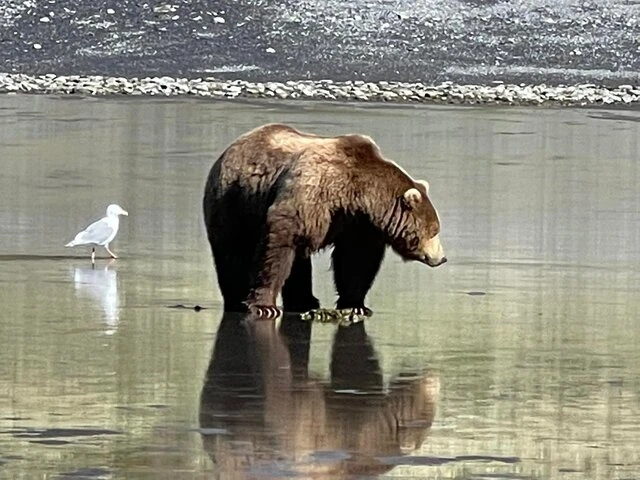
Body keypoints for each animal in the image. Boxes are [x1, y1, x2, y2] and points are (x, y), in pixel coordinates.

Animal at [203, 123, 446, 318]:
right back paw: (236, 298)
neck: (358, 198)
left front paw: (356, 305)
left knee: (298, 261)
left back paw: (304, 300)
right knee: (232, 253)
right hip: (233, 202)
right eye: (434, 230)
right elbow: (277, 246)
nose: (442, 258)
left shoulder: (358, 226)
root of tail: (232, 146)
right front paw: (264, 306)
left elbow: (356, 261)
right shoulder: (312, 197)